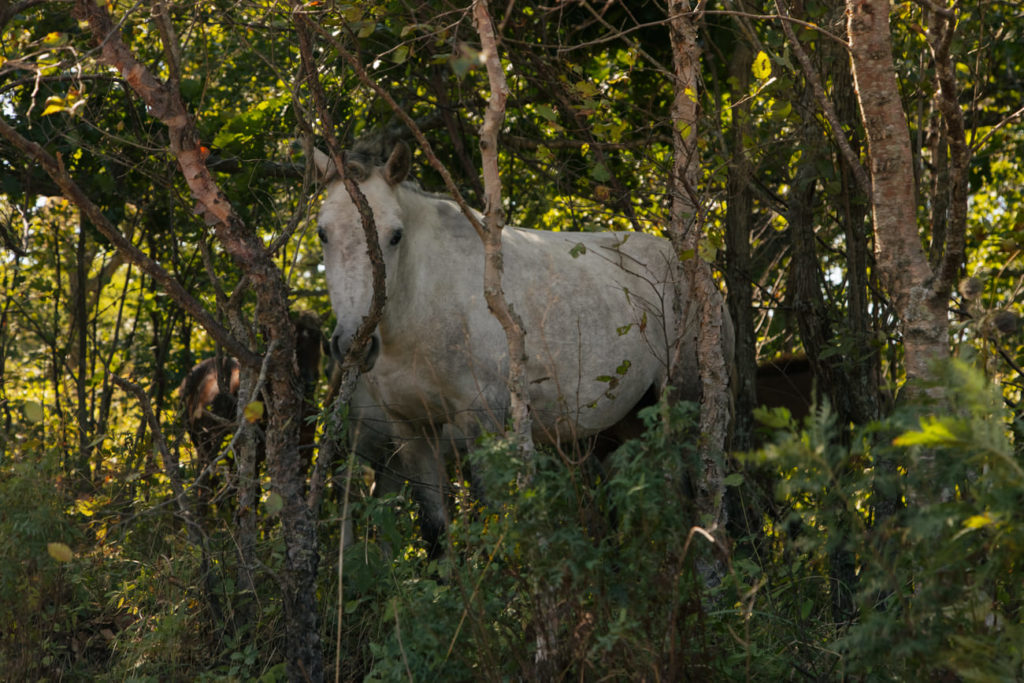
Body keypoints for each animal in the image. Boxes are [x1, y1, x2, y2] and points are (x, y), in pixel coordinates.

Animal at [315, 140, 724, 557]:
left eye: (396, 235)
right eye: (323, 234)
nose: (354, 343)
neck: (424, 303)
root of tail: (698, 272)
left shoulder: (482, 420)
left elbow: (494, 517)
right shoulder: (412, 429)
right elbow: (435, 532)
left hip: (684, 401)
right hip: (623, 422)